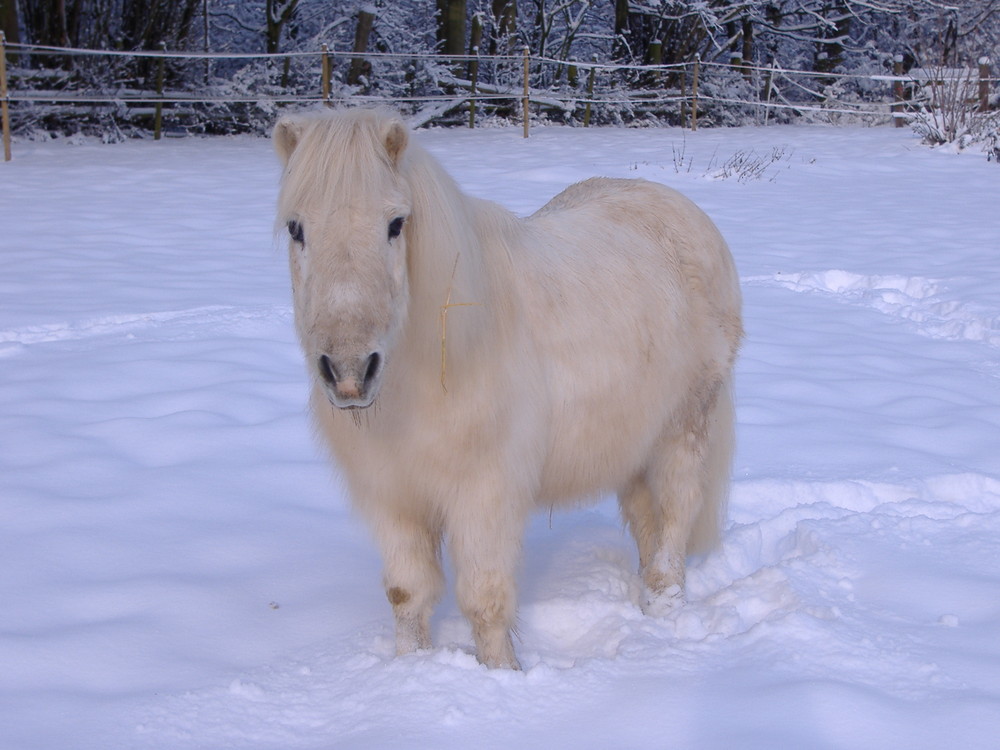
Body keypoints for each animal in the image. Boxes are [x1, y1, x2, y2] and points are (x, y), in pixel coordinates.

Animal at [274, 106, 744, 668]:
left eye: (395, 224)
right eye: (296, 228)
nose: (349, 372)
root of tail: (685, 211)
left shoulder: (486, 493)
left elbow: (484, 600)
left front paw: (502, 676)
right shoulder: (395, 498)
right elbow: (407, 594)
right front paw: (411, 671)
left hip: (685, 426)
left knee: (676, 514)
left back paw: (663, 607)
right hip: (632, 443)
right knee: (645, 519)